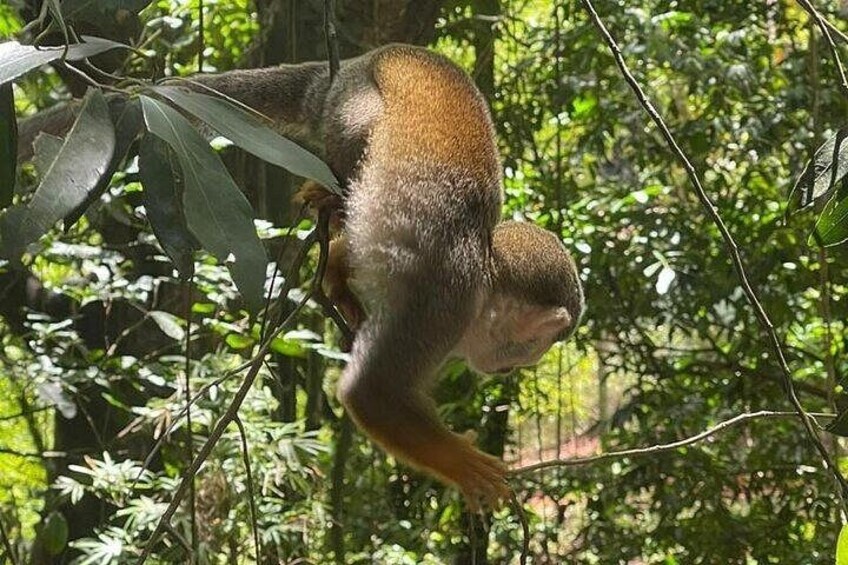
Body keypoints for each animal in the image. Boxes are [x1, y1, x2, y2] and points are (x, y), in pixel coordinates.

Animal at [19, 44, 585, 505]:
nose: (510, 371)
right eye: (531, 348)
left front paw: (338, 279)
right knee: (360, 137)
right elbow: (371, 392)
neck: (484, 271)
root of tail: (358, 61)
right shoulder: (442, 301)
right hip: (350, 103)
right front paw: (466, 466)